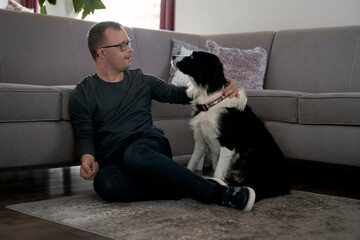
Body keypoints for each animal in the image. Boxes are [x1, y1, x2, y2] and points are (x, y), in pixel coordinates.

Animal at [173, 51, 292, 201]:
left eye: (193, 56)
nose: (173, 57)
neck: (210, 100)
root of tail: (285, 183)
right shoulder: (201, 140)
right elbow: (191, 165)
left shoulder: (228, 143)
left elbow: (217, 173)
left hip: (251, 153)